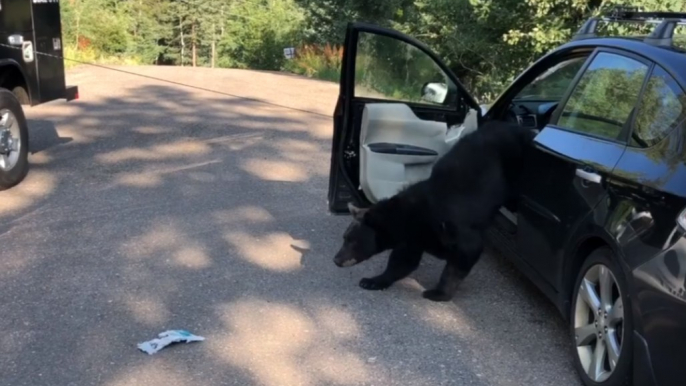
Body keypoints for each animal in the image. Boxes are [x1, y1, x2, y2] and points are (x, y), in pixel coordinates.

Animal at [336, 120, 540, 302]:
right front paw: (372, 281)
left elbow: (465, 253)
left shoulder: (452, 223)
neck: (409, 217)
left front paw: (438, 293)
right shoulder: (413, 237)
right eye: (344, 238)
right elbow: (402, 261)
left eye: (352, 241)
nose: (336, 260)